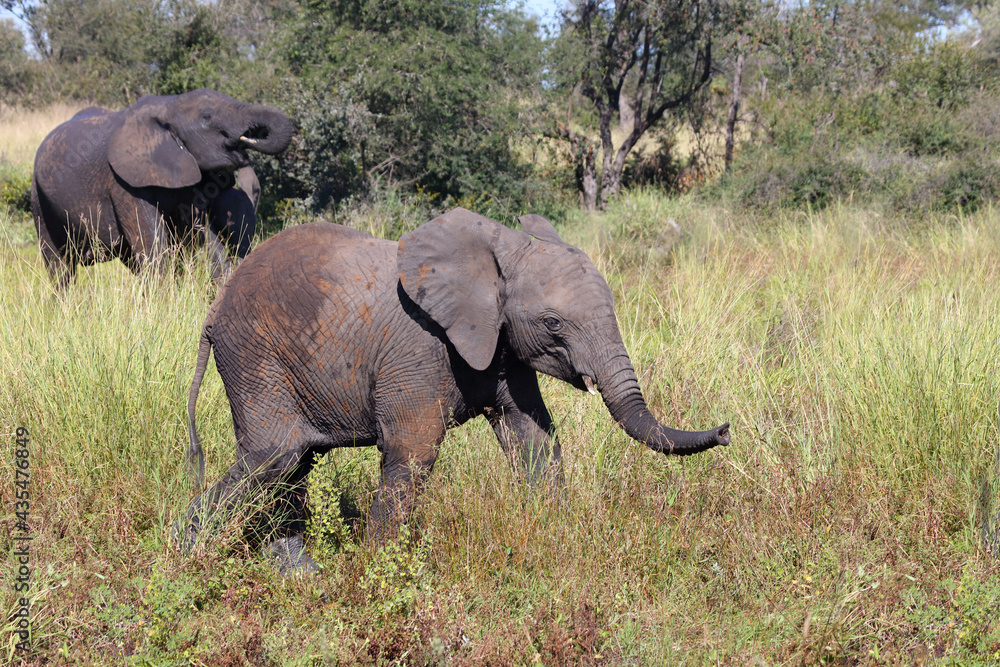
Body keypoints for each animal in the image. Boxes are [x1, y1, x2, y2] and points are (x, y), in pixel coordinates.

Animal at [31, 88, 293, 287]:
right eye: (207, 116)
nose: (250, 136)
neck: (168, 105)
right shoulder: (122, 182)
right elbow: (153, 245)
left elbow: (200, 231)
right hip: (38, 197)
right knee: (60, 267)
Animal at [179, 207, 730, 572]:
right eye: (553, 323)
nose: (726, 430)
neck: (497, 253)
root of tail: (212, 308)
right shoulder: (418, 349)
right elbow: (413, 451)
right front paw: (379, 573)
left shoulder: (502, 344)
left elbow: (535, 439)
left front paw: (555, 535)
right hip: (255, 357)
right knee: (277, 456)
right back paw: (184, 556)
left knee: (294, 463)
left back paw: (300, 577)